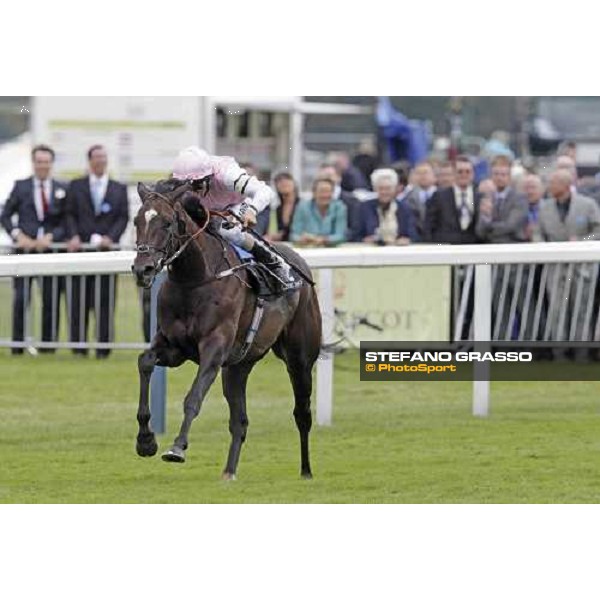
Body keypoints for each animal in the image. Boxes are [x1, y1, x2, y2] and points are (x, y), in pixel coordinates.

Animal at [129, 185, 322, 480]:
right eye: (136, 221)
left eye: (167, 222)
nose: (143, 269)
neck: (195, 279)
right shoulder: (174, 347)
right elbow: (145, 362)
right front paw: (146, 441)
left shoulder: (214, 348)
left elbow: (193, 397)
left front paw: (177, 447)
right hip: (238, 367)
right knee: (239, 422)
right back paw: (228, 473)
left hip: (299, 359)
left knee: (302, 413)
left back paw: (306, 471)